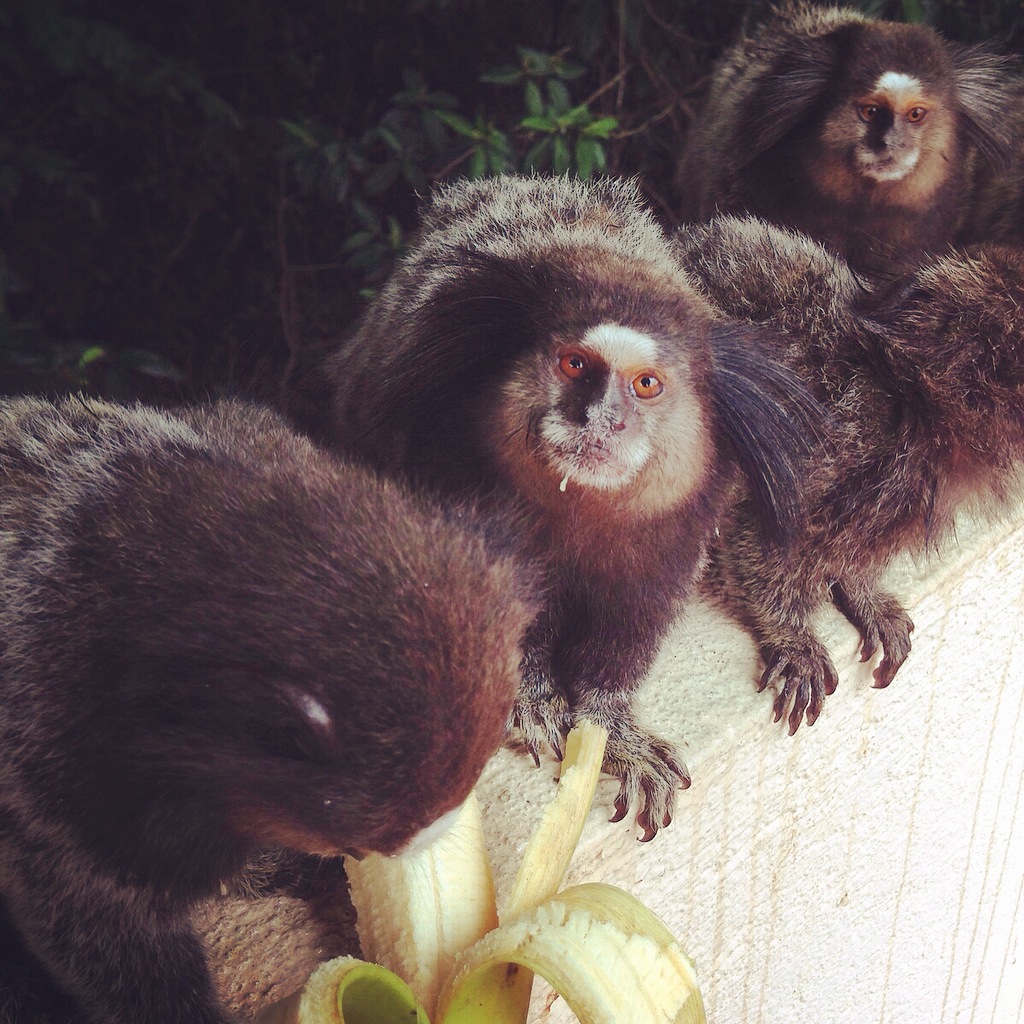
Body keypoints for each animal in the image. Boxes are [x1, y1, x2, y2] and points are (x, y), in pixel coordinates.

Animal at [324, 174, 827, 839]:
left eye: (646, 384)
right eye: (574, 364)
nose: (599, 419)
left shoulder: (675, 534)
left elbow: (629, 626)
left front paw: (609, 727)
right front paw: (533, 699)